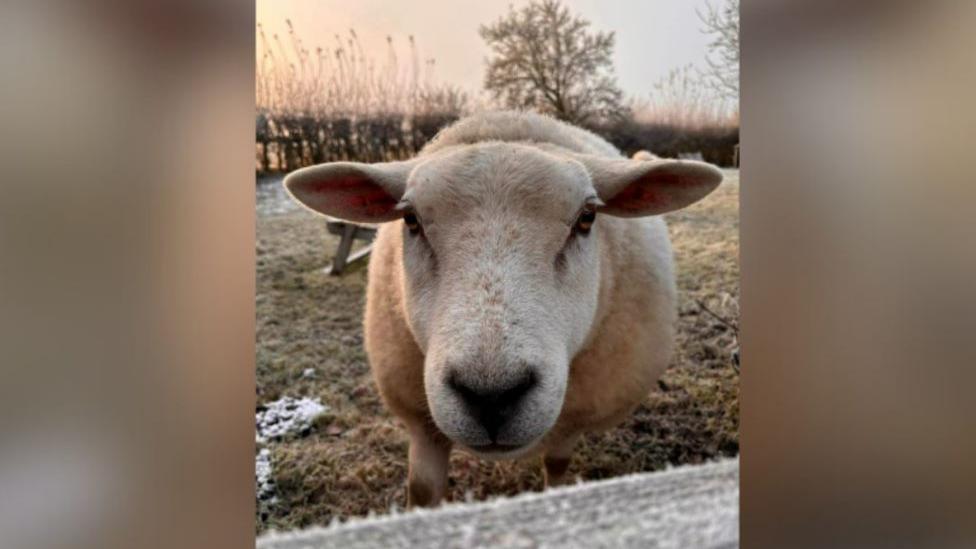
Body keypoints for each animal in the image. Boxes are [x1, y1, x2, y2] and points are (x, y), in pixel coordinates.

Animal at [284, 110, 724, 506]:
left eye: (586, 218)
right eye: (410, 219)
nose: (491, 397)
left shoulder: (576, 414)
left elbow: (558, 464)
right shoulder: (422, 422)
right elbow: (423, 490)